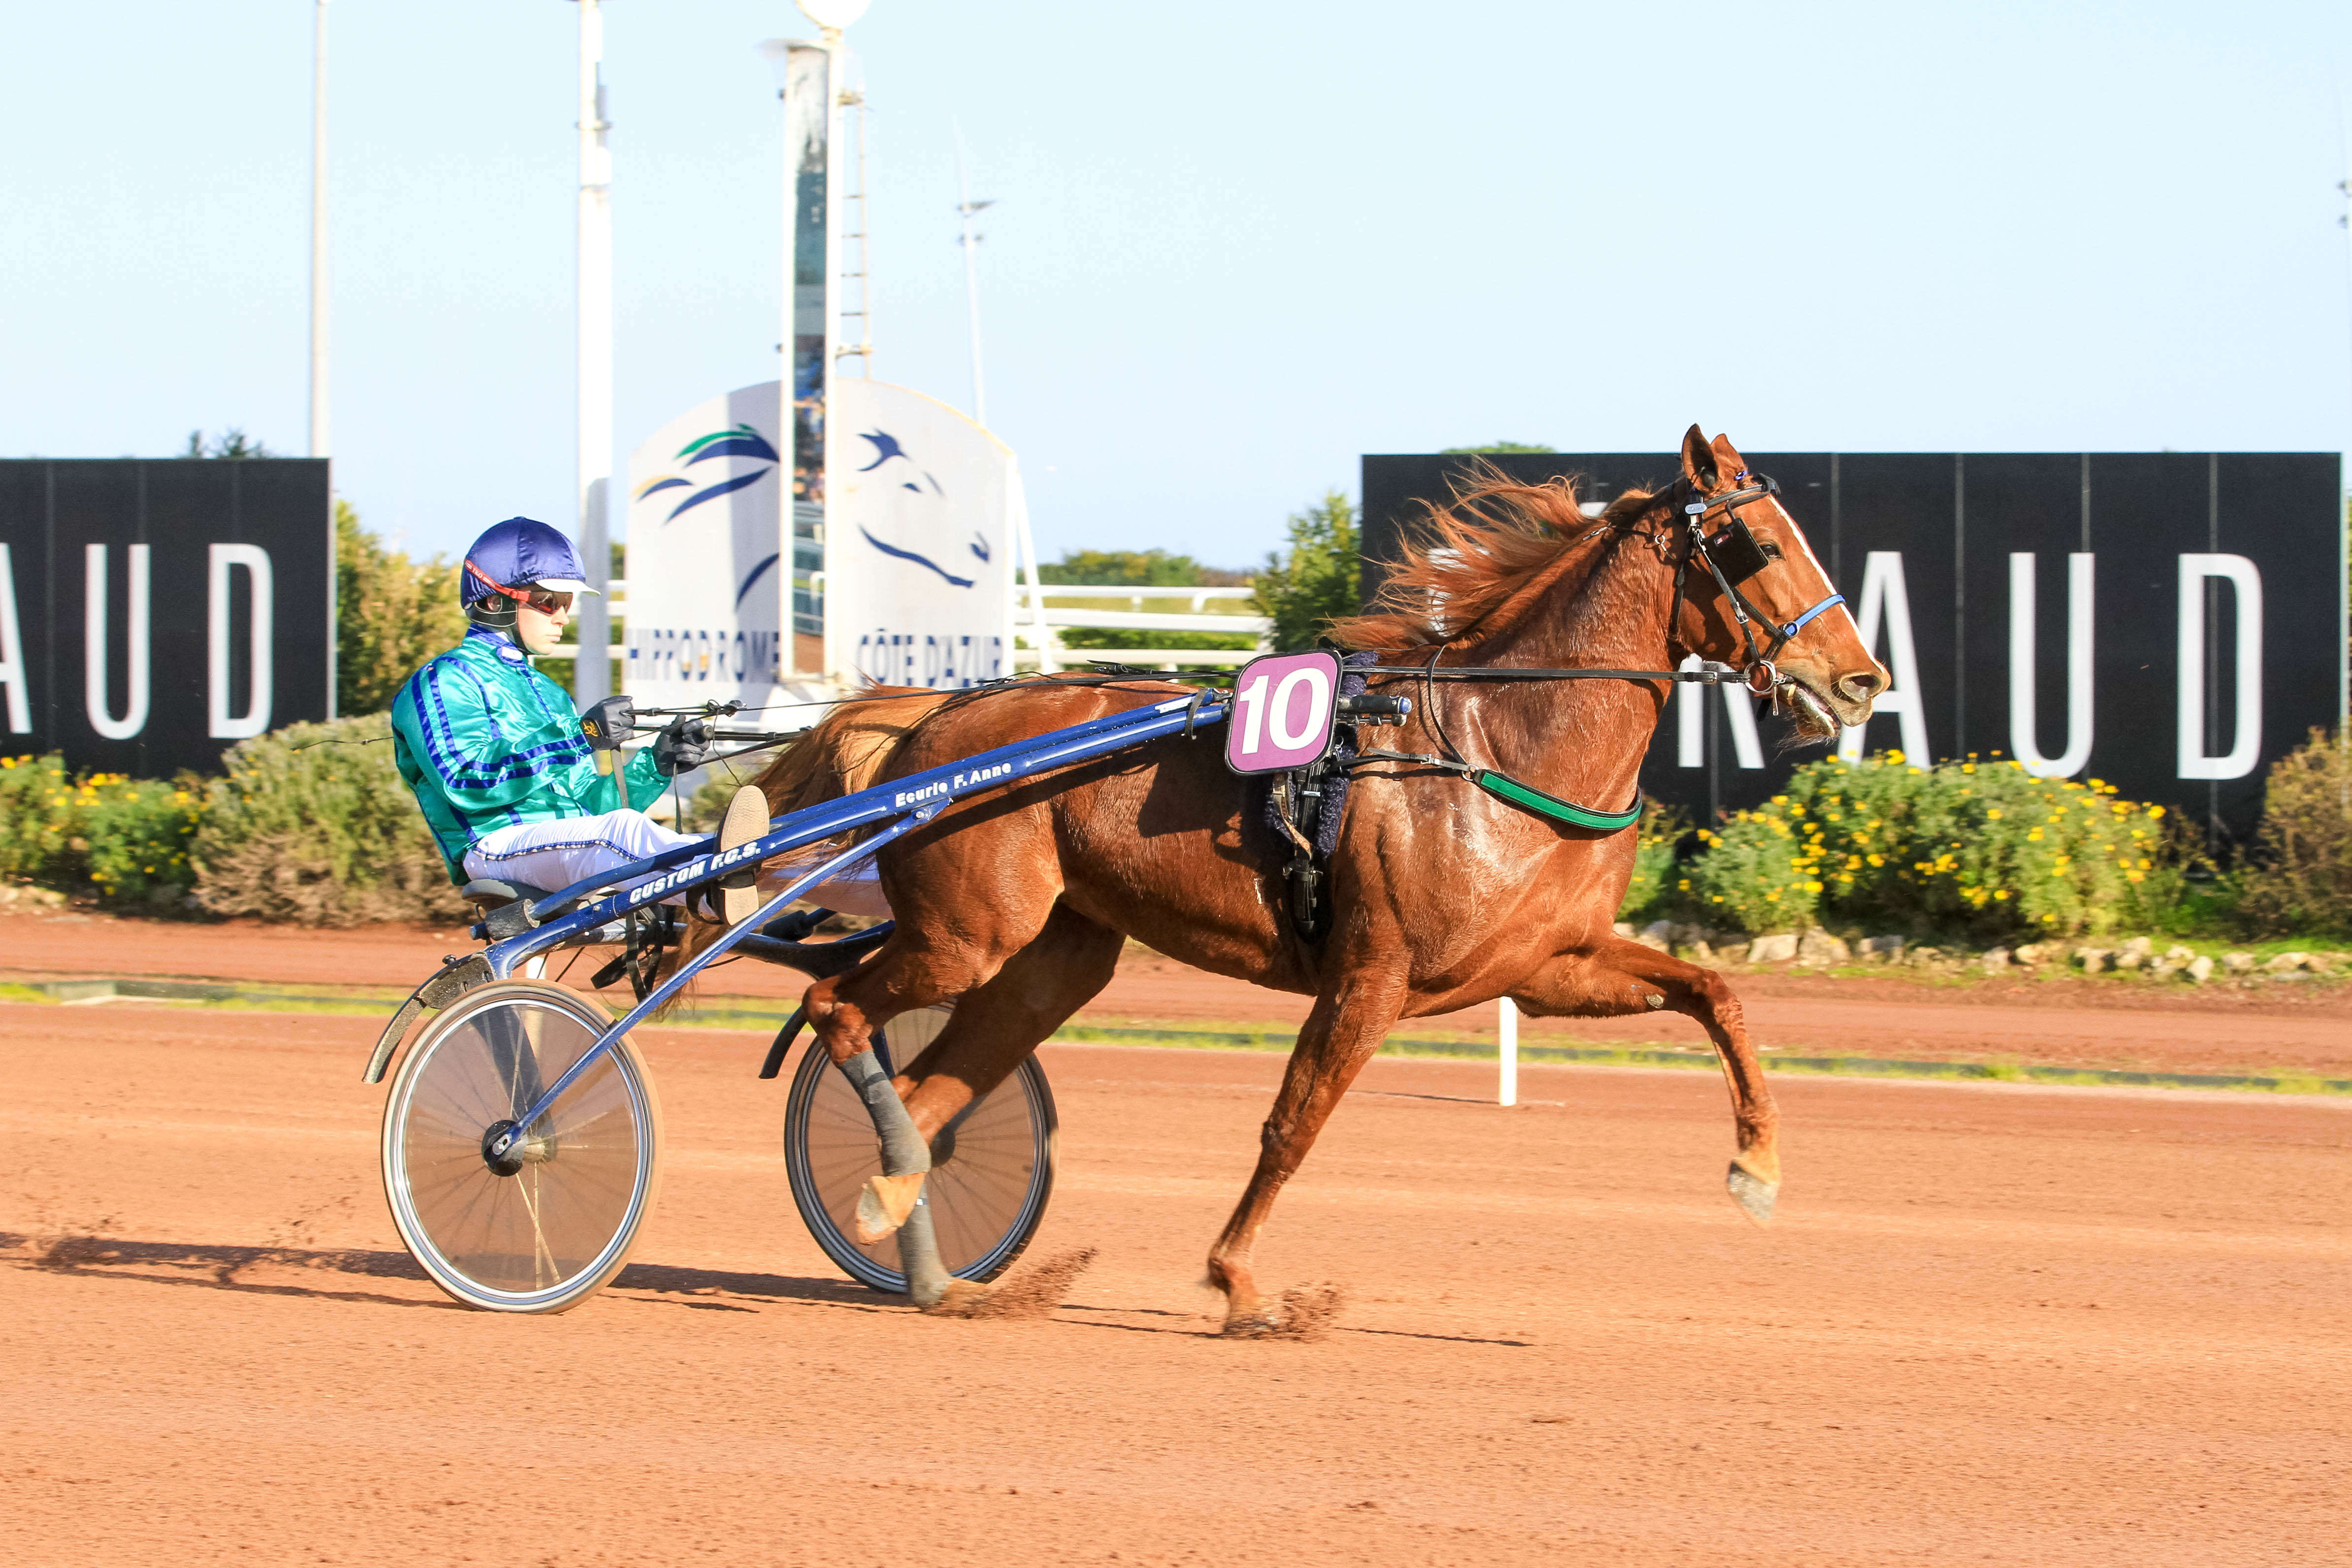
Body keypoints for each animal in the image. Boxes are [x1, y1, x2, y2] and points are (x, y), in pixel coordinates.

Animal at [743, 430, 1881, 1335]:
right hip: (967, 933)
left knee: (935, 1090)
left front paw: (1757, 1172)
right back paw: (900, 1205)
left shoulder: (1544, 966)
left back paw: (919, 1245)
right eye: (1755, 545)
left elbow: (1716, 993)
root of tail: (930, 718)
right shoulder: (1372, 973)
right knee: (838, 1006)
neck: (1494, 746)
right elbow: (1294, 1122)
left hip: (1051, 957)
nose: (1861, 679)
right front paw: (1240, 1285)